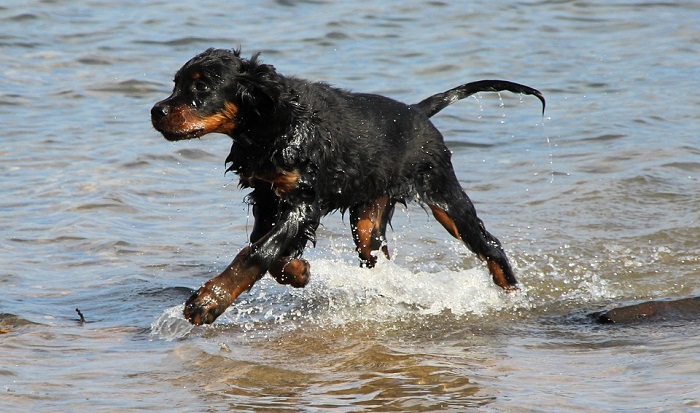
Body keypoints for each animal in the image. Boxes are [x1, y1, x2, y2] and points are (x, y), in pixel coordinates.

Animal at [152, 49, 548, 326]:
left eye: (202, 86)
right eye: (176, 84)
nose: (156, 111)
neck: (271, 124)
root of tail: (418, 111)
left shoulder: (303, 199)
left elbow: (257, 252)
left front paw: (209, 300)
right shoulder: (266, 195)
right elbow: (265, 246)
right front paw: (298, 271)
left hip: (442, 193)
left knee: (489, 244)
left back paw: (512, 293)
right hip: (369, 216)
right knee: (377, 253)